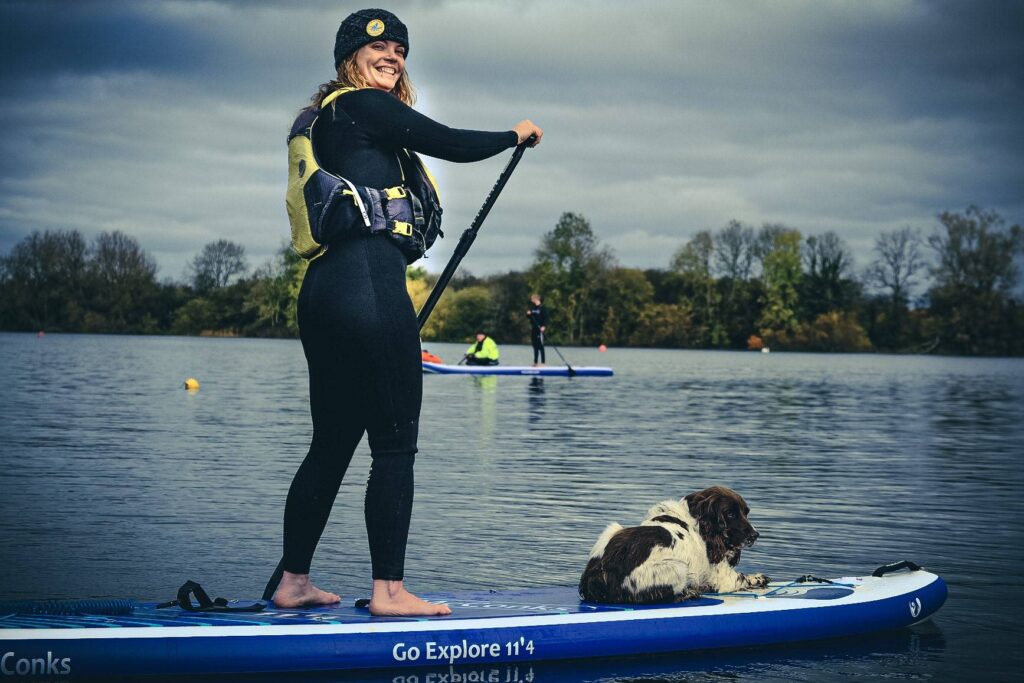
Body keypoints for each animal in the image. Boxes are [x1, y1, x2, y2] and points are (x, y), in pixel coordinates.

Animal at [577, 485, 770, 602]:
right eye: (730, 514)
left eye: (746, 512)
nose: (755, 535)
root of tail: (600, 575)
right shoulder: (724, 577)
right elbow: (744, 578)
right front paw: (759, 577)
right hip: (678, 567)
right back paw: (689, 592)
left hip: (612, 528)